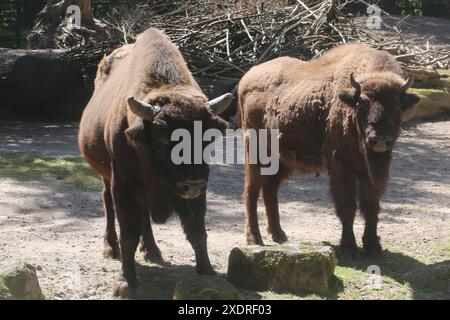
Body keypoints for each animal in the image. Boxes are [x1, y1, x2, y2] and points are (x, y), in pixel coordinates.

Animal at [78, 28, 232, 298]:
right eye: (161, 135)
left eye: (209, 136)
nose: (192, 183)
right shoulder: (123, 186)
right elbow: (128, 234)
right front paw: (125, 284)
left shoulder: (199, 191)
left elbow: (197, 231)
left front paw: (207, 271)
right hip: (106, 178)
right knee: (108, 204)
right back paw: (110, 248)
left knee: (145, 219)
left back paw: (152, 251)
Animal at [239, 43, 422, 256]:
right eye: (362, 102)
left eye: (397, 104)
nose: (380, 138)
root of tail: (246, 78)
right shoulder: (341, 167)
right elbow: (347, 207)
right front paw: (349, 246)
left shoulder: (370, 171)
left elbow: (371, 206)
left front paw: (372, 246)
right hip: (255, 152)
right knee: (251, 189)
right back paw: (254, 238)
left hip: (282, 159)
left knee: (270, 189)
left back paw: (279, 235)